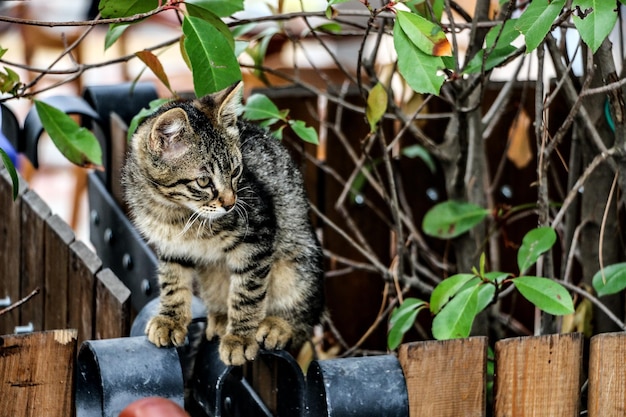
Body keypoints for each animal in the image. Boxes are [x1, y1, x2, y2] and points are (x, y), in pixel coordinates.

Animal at [123, 81, 326, 364]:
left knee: (305, 317)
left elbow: (247, 292)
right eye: (203, 182)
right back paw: (220, 318)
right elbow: (172, 280)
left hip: (297, 263)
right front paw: (171, 319)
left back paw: (278, 325)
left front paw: (240, 338)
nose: (230, 203)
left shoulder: (257, 236)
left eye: (236, 172)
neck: (172, 211)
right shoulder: (170, 245)